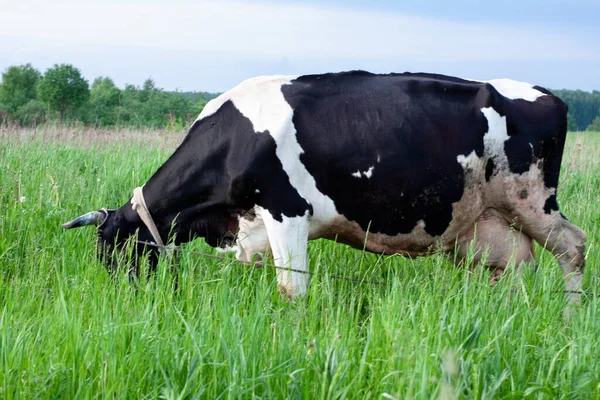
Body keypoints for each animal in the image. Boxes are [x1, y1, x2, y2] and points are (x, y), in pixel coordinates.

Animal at [62, 70, 584, 304]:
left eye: (113, 253)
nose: (122, 300)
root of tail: (549, 94)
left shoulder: (286, 213)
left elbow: (290, 289)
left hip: (535, 203)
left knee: (574, 248)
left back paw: (570, 317)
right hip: (489, 226)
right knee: (512, 271)